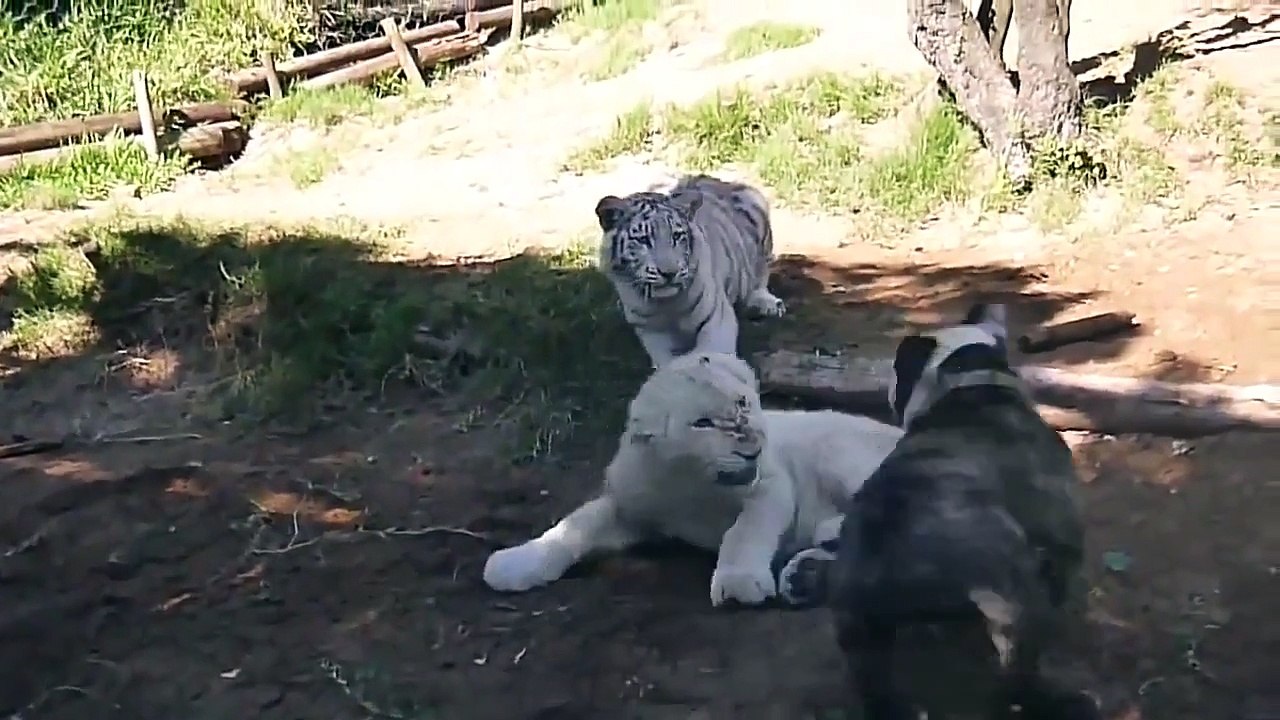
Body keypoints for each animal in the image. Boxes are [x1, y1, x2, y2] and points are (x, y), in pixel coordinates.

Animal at [593, 173, 787, 368]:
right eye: (643, 239)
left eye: (676, 236)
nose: (669, 273)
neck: (666, 304)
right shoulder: (653, 333)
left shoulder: (716, 320)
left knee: (761, 274)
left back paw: (767, 303)